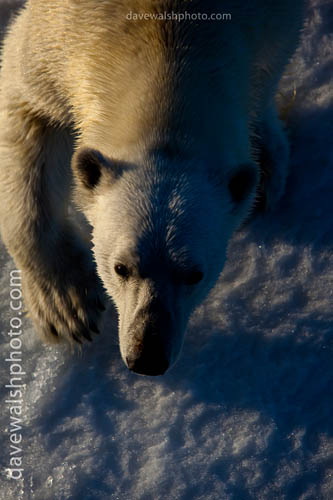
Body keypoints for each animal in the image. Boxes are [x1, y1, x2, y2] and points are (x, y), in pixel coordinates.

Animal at [0, 0, 304, 376]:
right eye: (120, 267)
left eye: (195, 274)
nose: (147, 357)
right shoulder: (56, 39)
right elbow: (28, 114)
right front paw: (67, 305)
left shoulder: (273, 18)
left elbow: (271, 66)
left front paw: (263, 158)